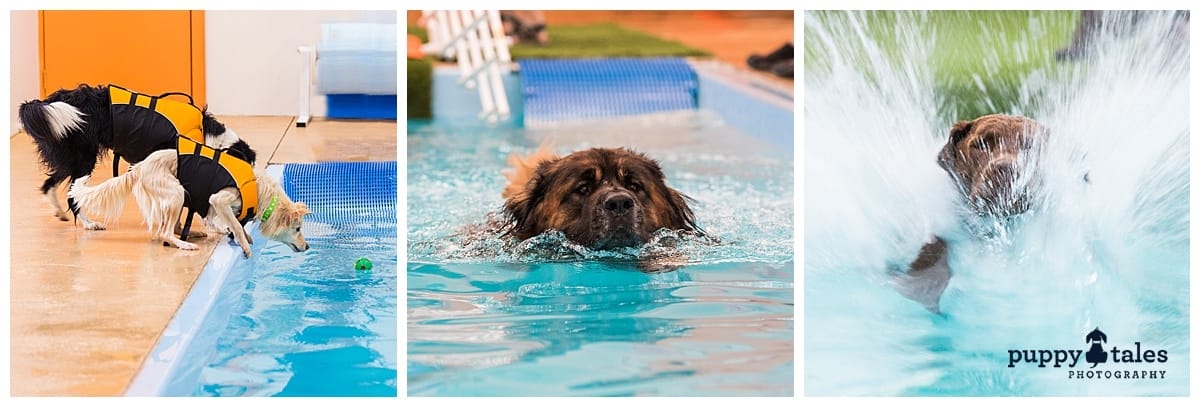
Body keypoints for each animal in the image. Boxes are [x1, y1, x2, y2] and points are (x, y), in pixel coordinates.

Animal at [18, 84, 255, 231]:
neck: (210, 139)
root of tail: (49, 100)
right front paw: (217, 226)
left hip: (70, 155)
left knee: (50, 183)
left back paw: (59, 211)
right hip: (83, 157)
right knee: (72, 194)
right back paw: (89, 223)